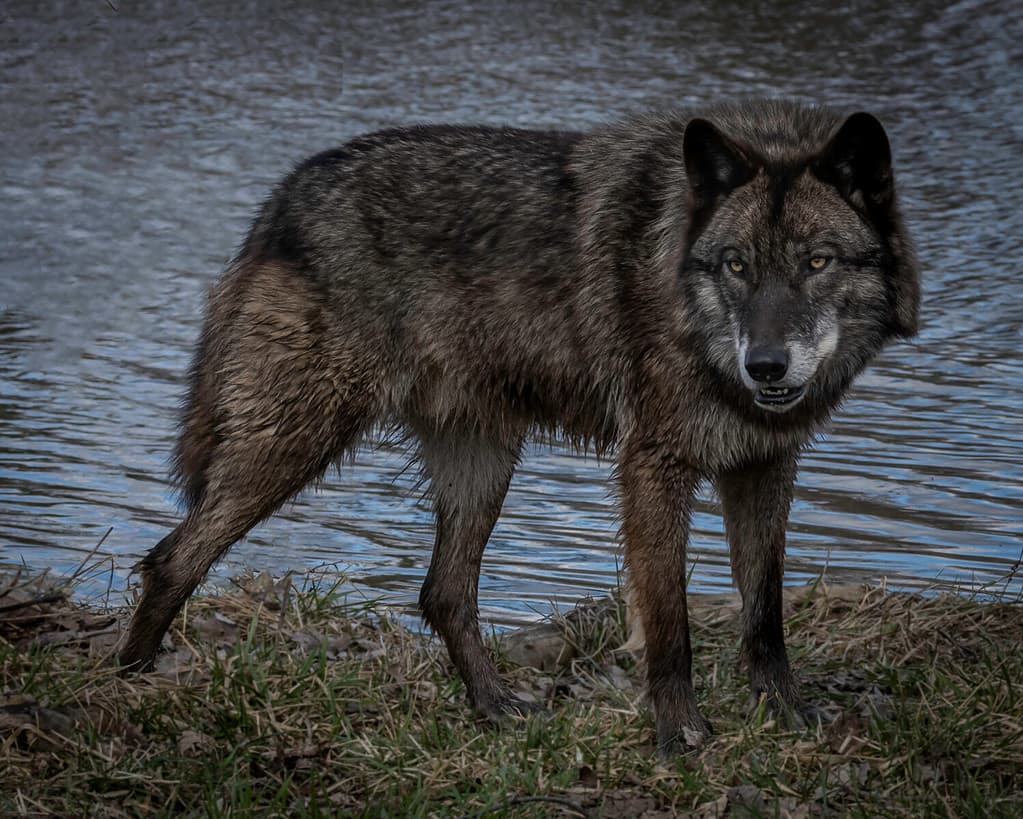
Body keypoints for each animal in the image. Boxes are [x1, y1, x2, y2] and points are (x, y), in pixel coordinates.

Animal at [119, 100, 920, 752]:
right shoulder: (653, 467)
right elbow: (670, 625)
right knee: (172, 558)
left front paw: (785, 712)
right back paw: (127, 686)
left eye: (817, 262)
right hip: (298, 441)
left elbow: (765, 611)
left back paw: (496, 707)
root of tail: (285, 193)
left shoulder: (764, 465)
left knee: (441, 593)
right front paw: (680, 734)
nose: (766, 366)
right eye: (735, 265)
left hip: (484, 462)